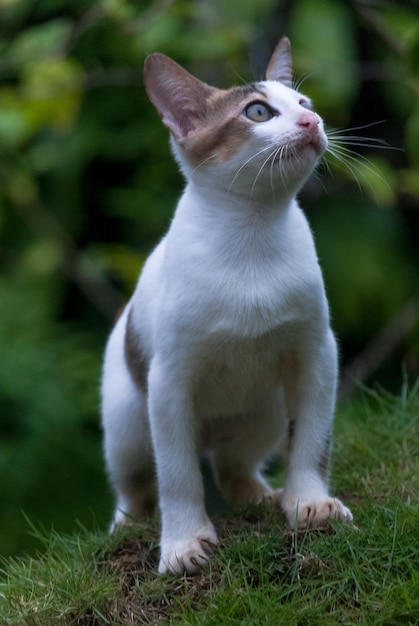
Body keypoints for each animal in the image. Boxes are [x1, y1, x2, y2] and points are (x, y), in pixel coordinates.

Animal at [102, 37, 354, 576]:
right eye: (258, 112)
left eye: (304, 103)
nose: (313, 121)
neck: (252, 232)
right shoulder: (169, 381)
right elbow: (176, 475)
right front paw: (182, 544)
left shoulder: (317, 353)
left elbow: (313, 441)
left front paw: (309, 503)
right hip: (128, 421)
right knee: (138, 486)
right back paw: (126, 525)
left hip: (266, 409)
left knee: (230, 468)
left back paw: (263, 496)